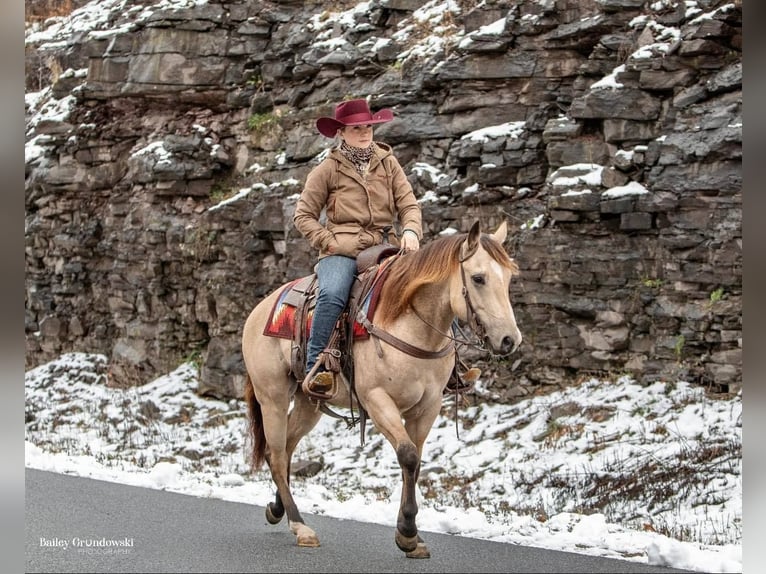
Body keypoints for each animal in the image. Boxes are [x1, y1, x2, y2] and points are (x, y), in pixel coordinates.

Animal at [243, 219, 524, 560]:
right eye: (478, 278)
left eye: (508, 278)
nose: (509, 340)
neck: (410, 324)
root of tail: (259, 311)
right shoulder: (377, 400)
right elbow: (408, 456)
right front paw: (407, 532)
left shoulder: (428, 407)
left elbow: (415, 462)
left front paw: (412, 537)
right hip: (272, 397)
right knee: (277, 454)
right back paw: (300, 526)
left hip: (309, 403)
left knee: (284, 449)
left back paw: (277, 509)